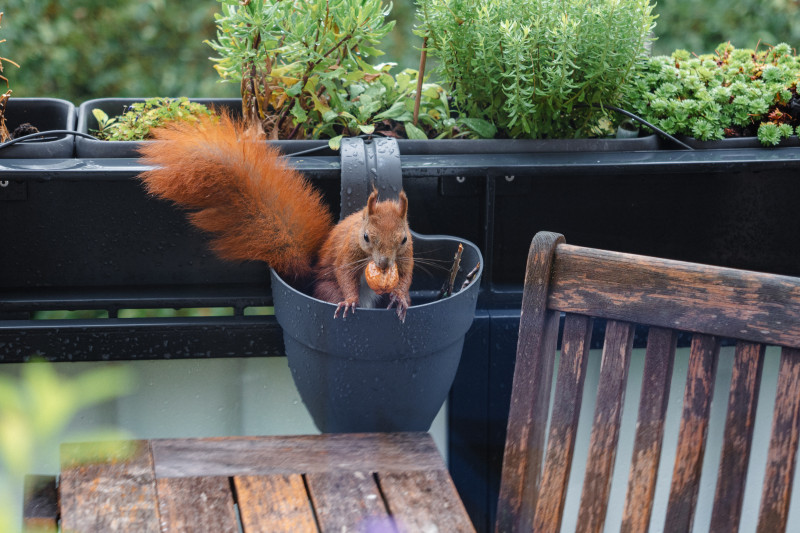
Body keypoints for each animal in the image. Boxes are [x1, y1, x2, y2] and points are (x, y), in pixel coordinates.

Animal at [138, 113, 412, 320]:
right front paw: (350, 299)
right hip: (327, 287)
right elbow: (344, 274)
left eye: (403, 239)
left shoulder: (406, 255)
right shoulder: (348, 250)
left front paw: (399, 297)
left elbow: (406, 277)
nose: (384, 265)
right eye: (365, 237)